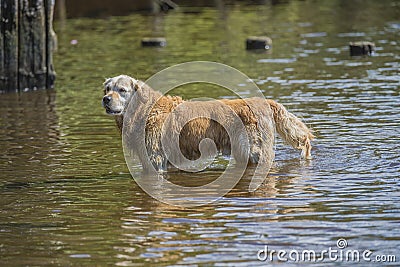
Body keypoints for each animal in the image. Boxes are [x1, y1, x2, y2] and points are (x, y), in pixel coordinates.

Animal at [101, 75, 314, 172]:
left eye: (122, 90)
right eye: (107, 88)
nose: (105, 99)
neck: (144, 111)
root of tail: (264, 101)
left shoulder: (156, 157)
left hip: (255, 150)